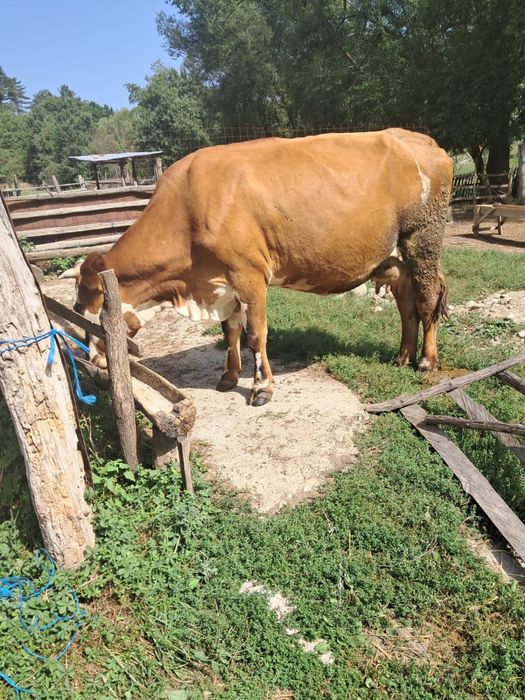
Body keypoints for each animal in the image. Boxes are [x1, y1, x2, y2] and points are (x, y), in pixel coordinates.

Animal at [61, 128, 452, 406]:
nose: (93, 362)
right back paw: (402, 356)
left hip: (422, 242)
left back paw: (426, 361)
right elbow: (230, 331)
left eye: (89, 314)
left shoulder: (249, 275)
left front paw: (261, 387)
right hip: (395, 260)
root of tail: (419, 139)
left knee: (426, 301)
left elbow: (254, 335)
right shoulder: (221, 283)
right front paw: (229, 377)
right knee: (407, 307)